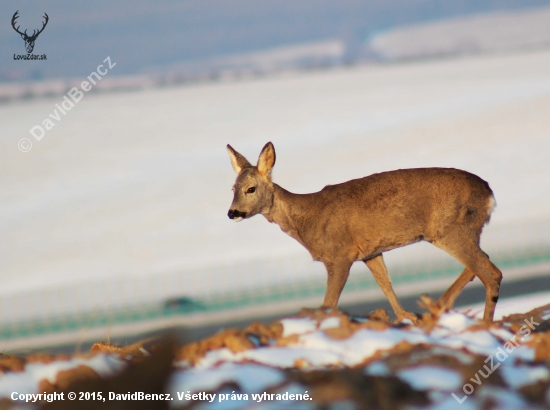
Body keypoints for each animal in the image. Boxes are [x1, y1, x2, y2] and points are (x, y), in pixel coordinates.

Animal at [226, 143, 502, 322]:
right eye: (233, 188)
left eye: (251, 188)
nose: (232, 212)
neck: (306, 219)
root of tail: (489, 193)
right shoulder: (371, 252)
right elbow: (386, 284)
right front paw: (406, 316)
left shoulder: (340, 255)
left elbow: (329, 303)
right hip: (462, 231)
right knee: (481, 266)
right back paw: (437, 307)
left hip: (451, 230)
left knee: (491, 273)